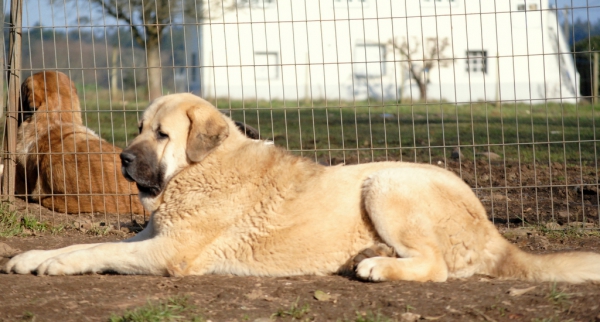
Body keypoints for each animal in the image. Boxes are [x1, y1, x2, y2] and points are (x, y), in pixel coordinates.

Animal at [4, 92, 600, 282]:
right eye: (137, 127)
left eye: (162, 134)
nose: (123, 158)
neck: (201, 169)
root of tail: (493, 229)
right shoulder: (150, 235)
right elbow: (87, 242)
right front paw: (35, 256)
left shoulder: (167, 251)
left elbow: (96, 251)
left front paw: (52, 265)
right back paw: (367, 256)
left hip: (385, 181)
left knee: (434, 266)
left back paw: (376, 266)